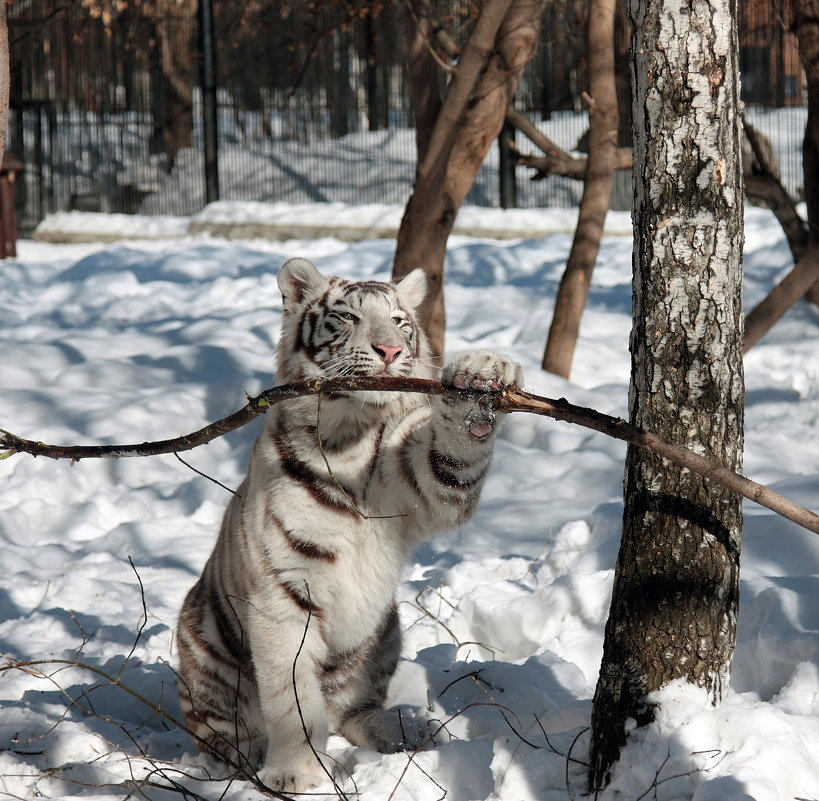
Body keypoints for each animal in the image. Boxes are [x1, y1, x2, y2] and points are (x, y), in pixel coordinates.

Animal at [177, 256, 524, 788]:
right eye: (348, 317)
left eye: (400, 321)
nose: (391, 349)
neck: (352, 436)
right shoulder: (284, 591)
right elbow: (291, 694)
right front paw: (294, 773)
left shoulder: (427, 484)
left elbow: (451, 459)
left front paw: (481, 380)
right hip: (199, 637)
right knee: (214, 724)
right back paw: (244, 752)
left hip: (385, 630)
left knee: (352, 710)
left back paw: (403, 731)